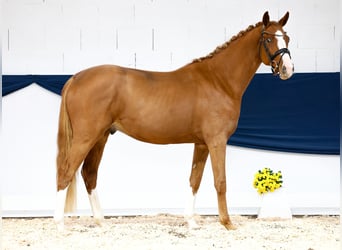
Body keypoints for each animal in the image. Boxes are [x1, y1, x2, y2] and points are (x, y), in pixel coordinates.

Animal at [54, 11, 294, 230]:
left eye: (287, 38)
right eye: (269, 39)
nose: (288, 69)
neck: (218, 81)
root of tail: (76, 78)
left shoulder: (202, 143)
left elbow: (195, 180)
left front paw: (191, 221)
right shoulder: (217, 141)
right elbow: (220, 181)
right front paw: (227, 223)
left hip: (101, 137)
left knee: (89, 174)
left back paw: (100, 221)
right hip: (85, 138)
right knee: (65, 173)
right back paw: (60, 224)